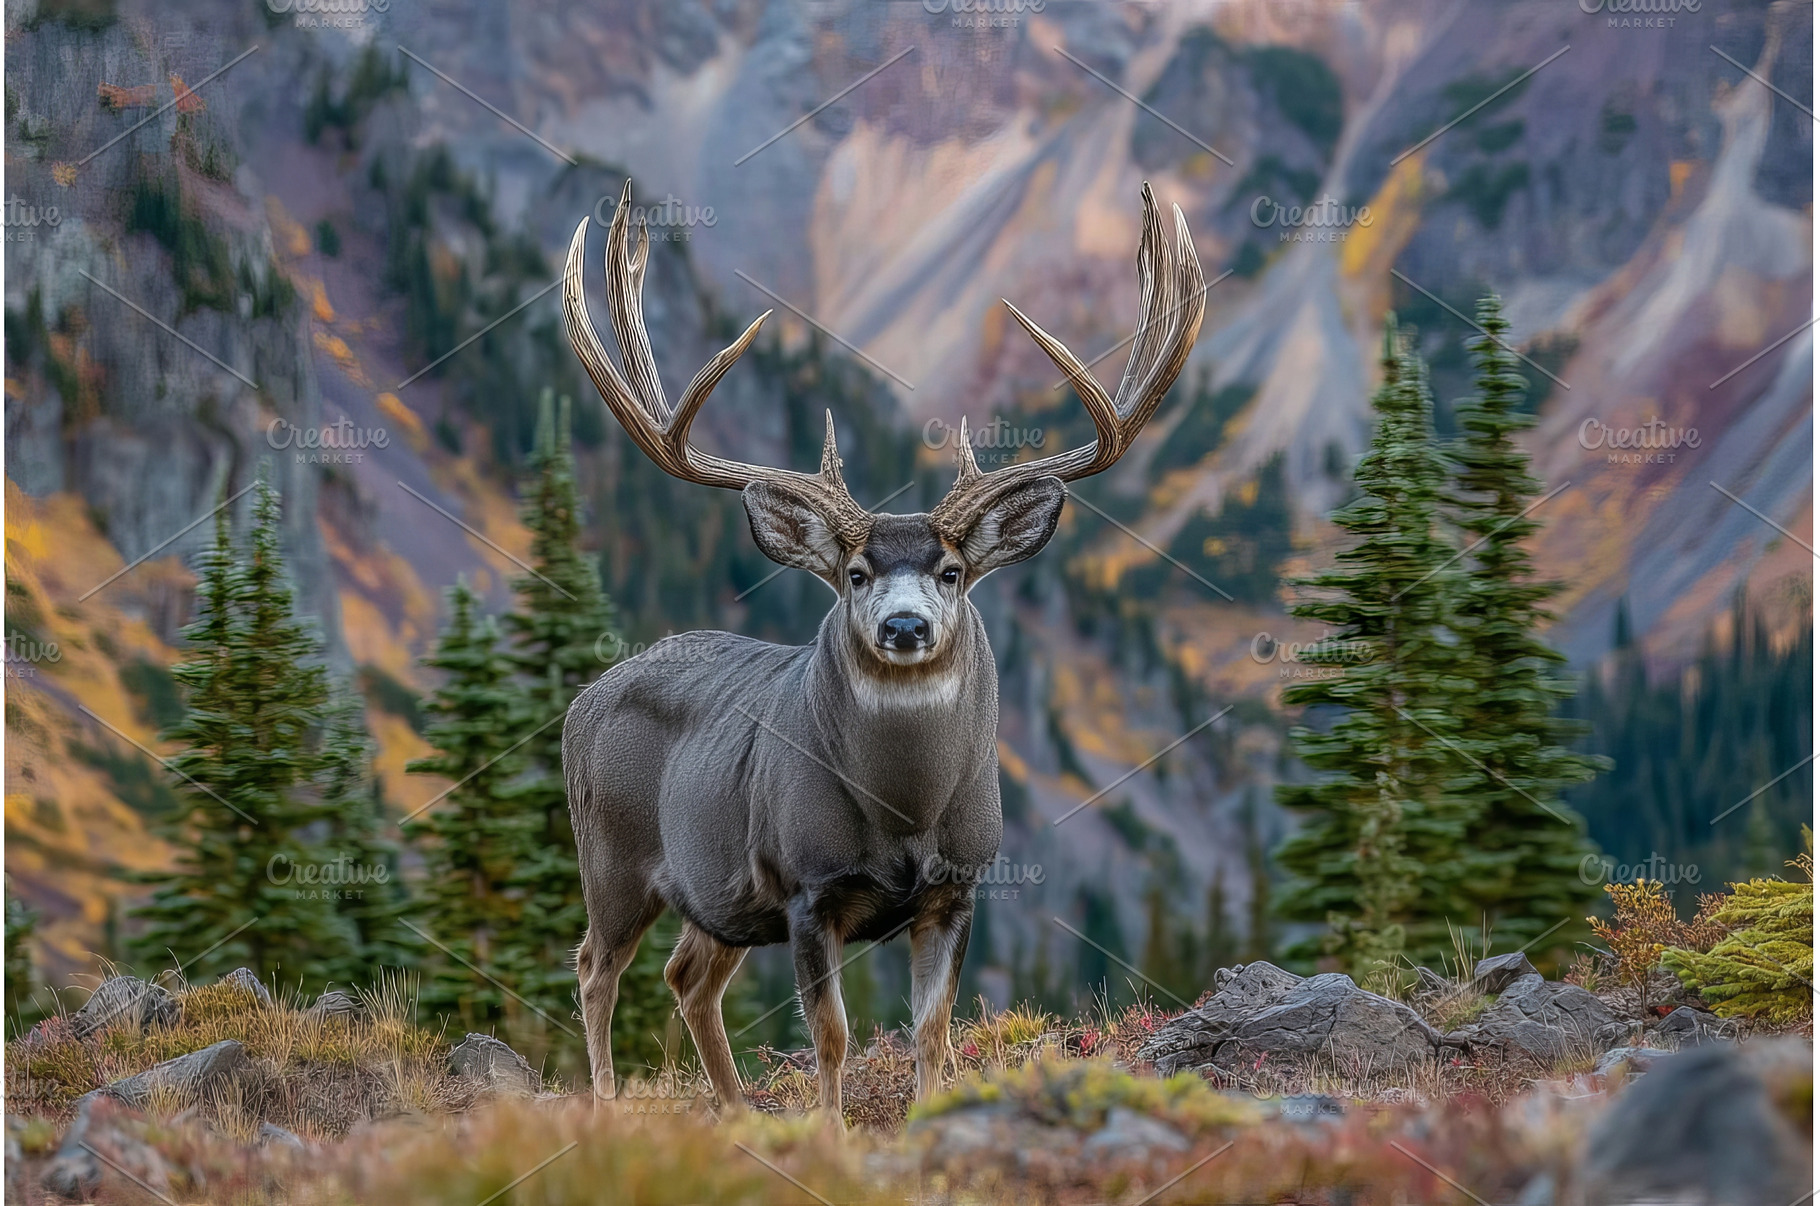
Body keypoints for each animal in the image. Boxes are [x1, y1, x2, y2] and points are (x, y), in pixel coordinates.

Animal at [559, 179, 1205, 1121]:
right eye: (856, 573)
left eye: (952, 571)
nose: (906, 627)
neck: (903, 813)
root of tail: (581, 700)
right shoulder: (807, 888)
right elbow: (831, 1034)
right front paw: (829, 1134)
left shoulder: (958, 889)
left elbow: (932, 1030)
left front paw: (925, 1117)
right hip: (609, 858)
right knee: (595, 971)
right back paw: (608, 1105)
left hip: (715, 891)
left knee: (686, 977)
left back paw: (737, 1109)